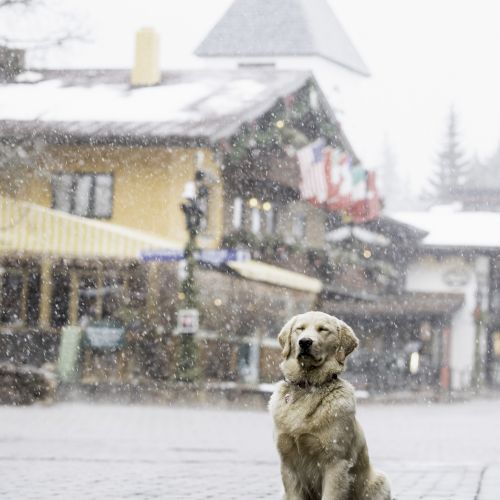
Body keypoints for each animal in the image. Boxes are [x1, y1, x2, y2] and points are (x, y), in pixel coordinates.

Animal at [270, 312, 390, 500]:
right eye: (300, 329)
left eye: (323, 329)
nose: (305, 342)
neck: (308, 386)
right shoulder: (288, 463)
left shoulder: (335, 462)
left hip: (381, 481)